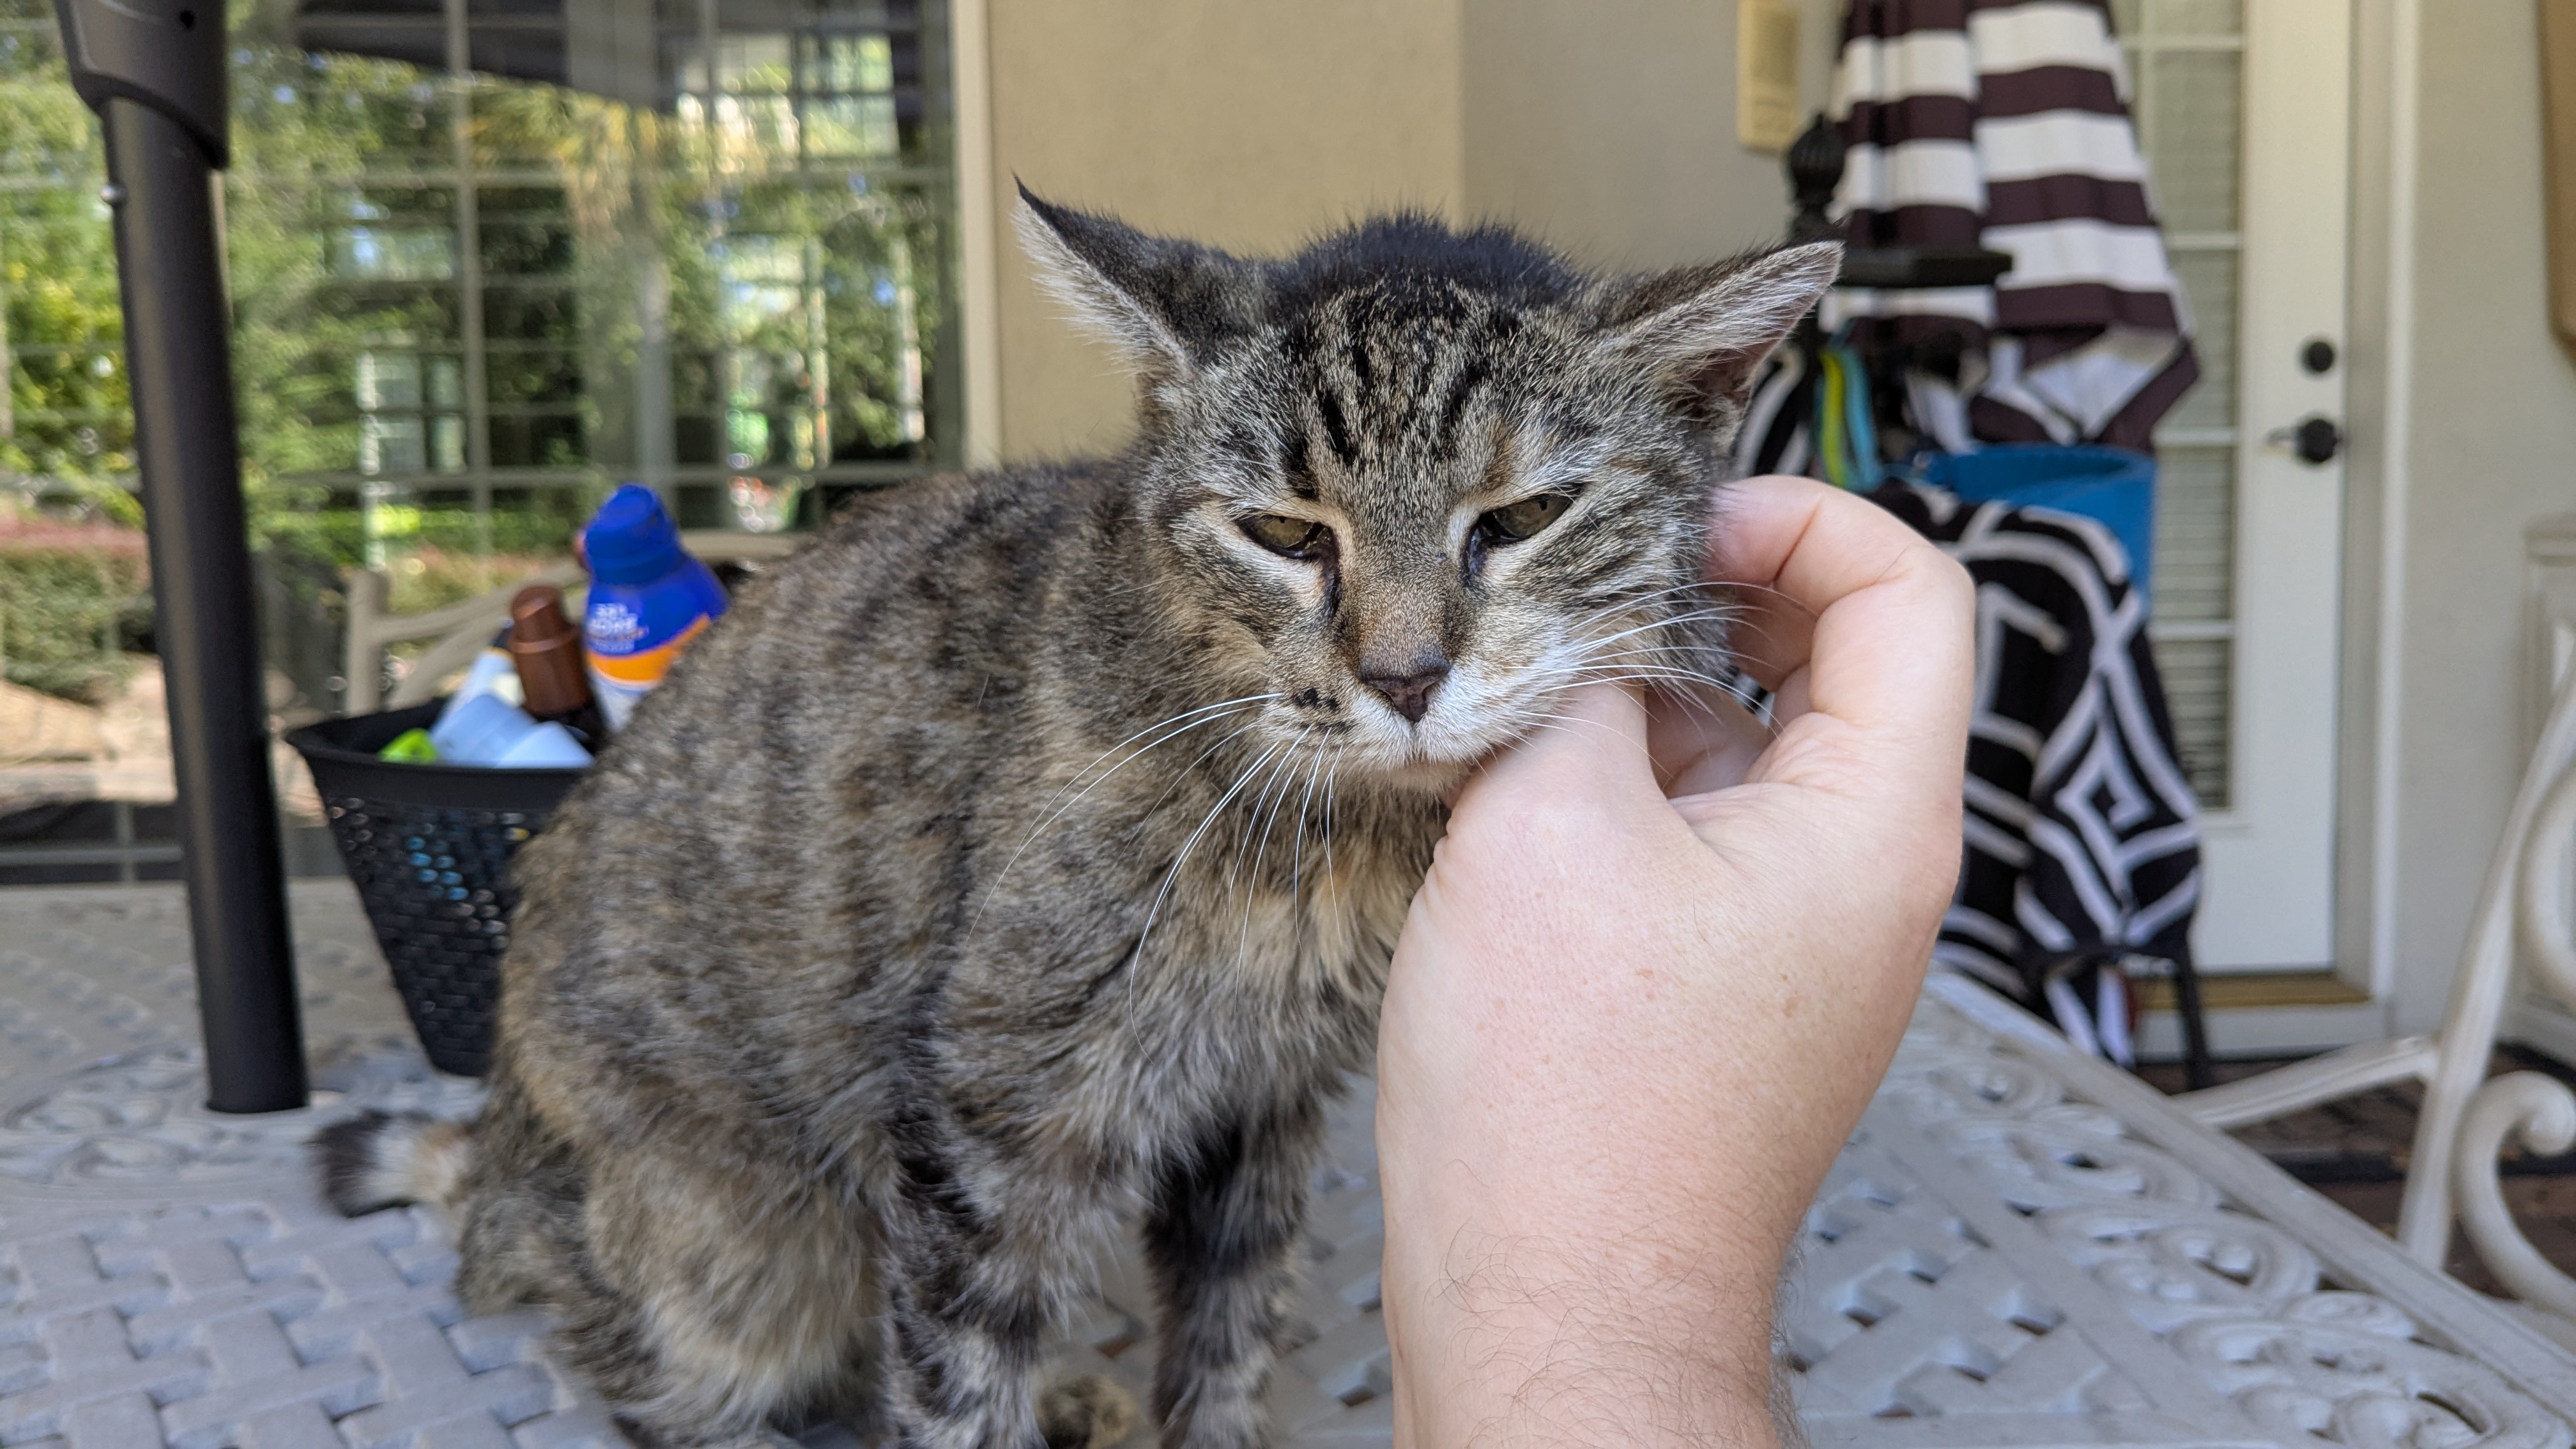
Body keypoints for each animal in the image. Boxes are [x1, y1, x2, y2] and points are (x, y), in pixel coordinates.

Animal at [314, 187, 1838, 1449]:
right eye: (1288, 535)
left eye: (1522, 517)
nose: (1404, 676)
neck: (1338, 845)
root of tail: (495, 1156)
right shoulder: (983, 1123)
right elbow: (952, 1378)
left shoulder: (1262, 1112)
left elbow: (1226, 1338)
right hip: (731, 1259)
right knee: (662, 1369)